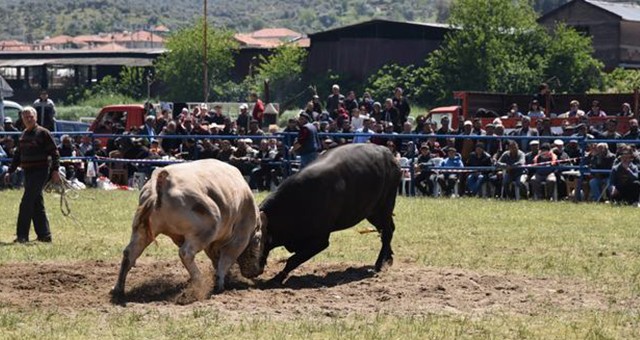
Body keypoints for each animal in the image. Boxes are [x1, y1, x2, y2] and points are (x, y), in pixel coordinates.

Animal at [112, 158, 262, 296]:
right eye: (258, 242)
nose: (257, 271)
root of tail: (163, 180)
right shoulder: (240, 237)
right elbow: (225, 259)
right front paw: (219, 283)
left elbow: (216, 259)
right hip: (206, 229)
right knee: (186, 253)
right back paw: (200, 281)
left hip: (142, 230)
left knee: (129, 252)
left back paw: (118, 288)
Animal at [256, 144, 400, 284]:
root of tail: (387, 153)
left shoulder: (321, 240)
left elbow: (293, 260)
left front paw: (277, 278)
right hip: (373, 213)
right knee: (387, 230)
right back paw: (388, 257)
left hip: (384, 207)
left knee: (387, 232)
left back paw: (379, 263)